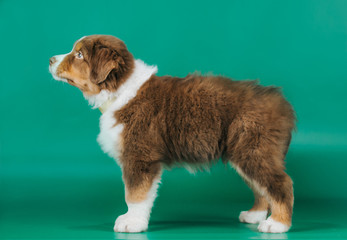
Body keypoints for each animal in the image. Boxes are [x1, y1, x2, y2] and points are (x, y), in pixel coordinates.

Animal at [49, 34, 298, 233]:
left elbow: (135, 194)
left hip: (253, 148)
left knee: (280, 183)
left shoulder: (140, 155)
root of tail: (283, 104)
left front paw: (132, 223)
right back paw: (255, 215)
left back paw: (277, 224)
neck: (119, 89)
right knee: (261, 187)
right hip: (244, 151)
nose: (50, 60)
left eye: (79, 54)